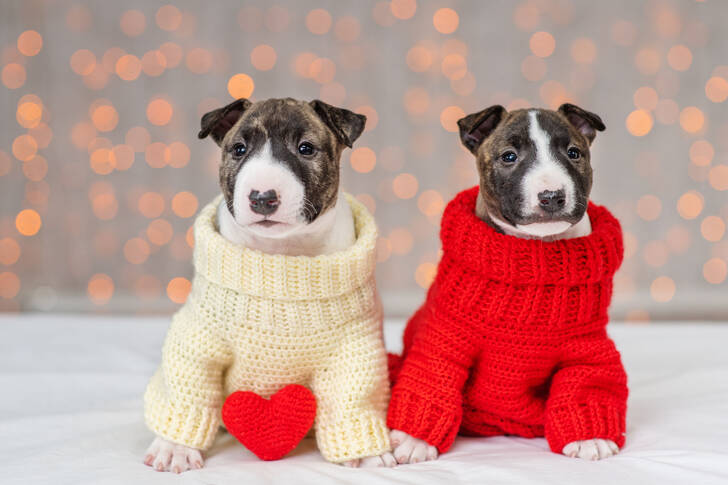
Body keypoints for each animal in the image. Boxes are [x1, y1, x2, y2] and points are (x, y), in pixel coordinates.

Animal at [141, 96, 392, 470]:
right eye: (239, 148)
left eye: (306, 148)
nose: (262, 197)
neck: (281, 256)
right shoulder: (199, 342)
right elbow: (188, 390)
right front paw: (175, 448)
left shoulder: (353, 350)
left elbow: (353, 399)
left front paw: (368, 454)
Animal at [390, 105, 628, 462]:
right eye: (509, 156)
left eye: (573, 153)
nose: (552, 196)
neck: (538, 248)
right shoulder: (446, 337)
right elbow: (432, 377)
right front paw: (414, 439)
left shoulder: (586, 348)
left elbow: (586, 382)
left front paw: (590, 436)